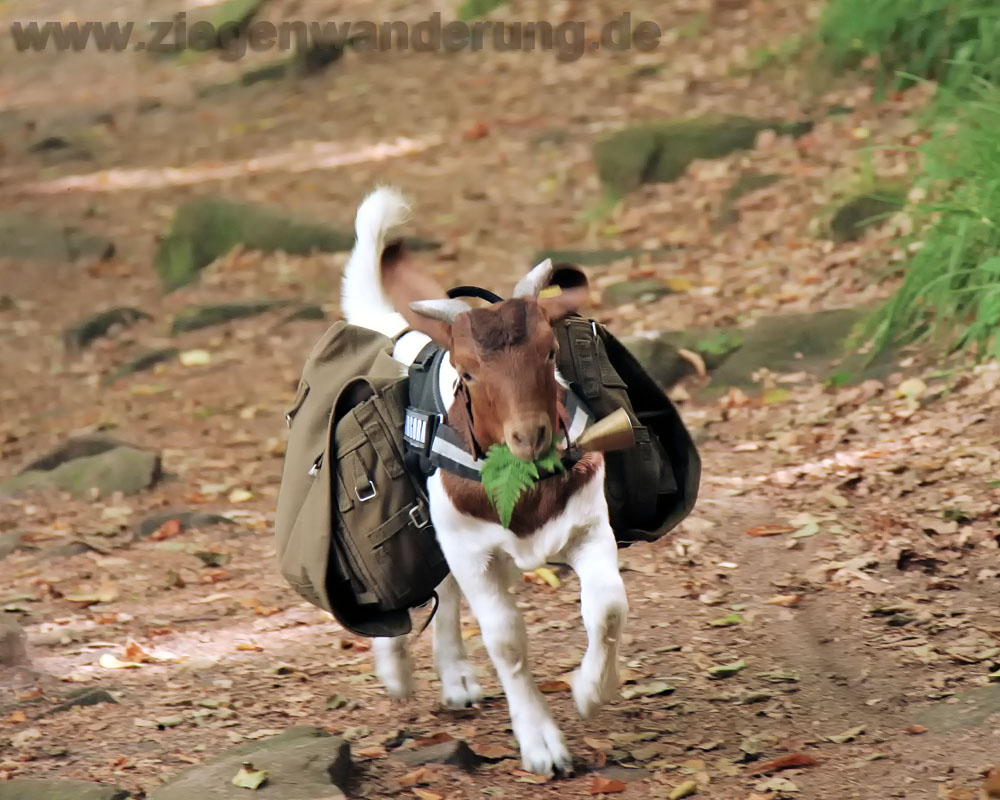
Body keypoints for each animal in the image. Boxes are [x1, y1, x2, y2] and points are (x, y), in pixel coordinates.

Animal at [340, 188, 628, 776]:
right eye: (468, 371)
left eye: (549, 350)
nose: (529, 435)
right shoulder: (470, 545)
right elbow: (506, 640)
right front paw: (543, 747)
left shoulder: (588, 524)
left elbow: (608, 607)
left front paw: (590, 692)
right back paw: (397, 671)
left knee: (445, 591)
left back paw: (457, 680)